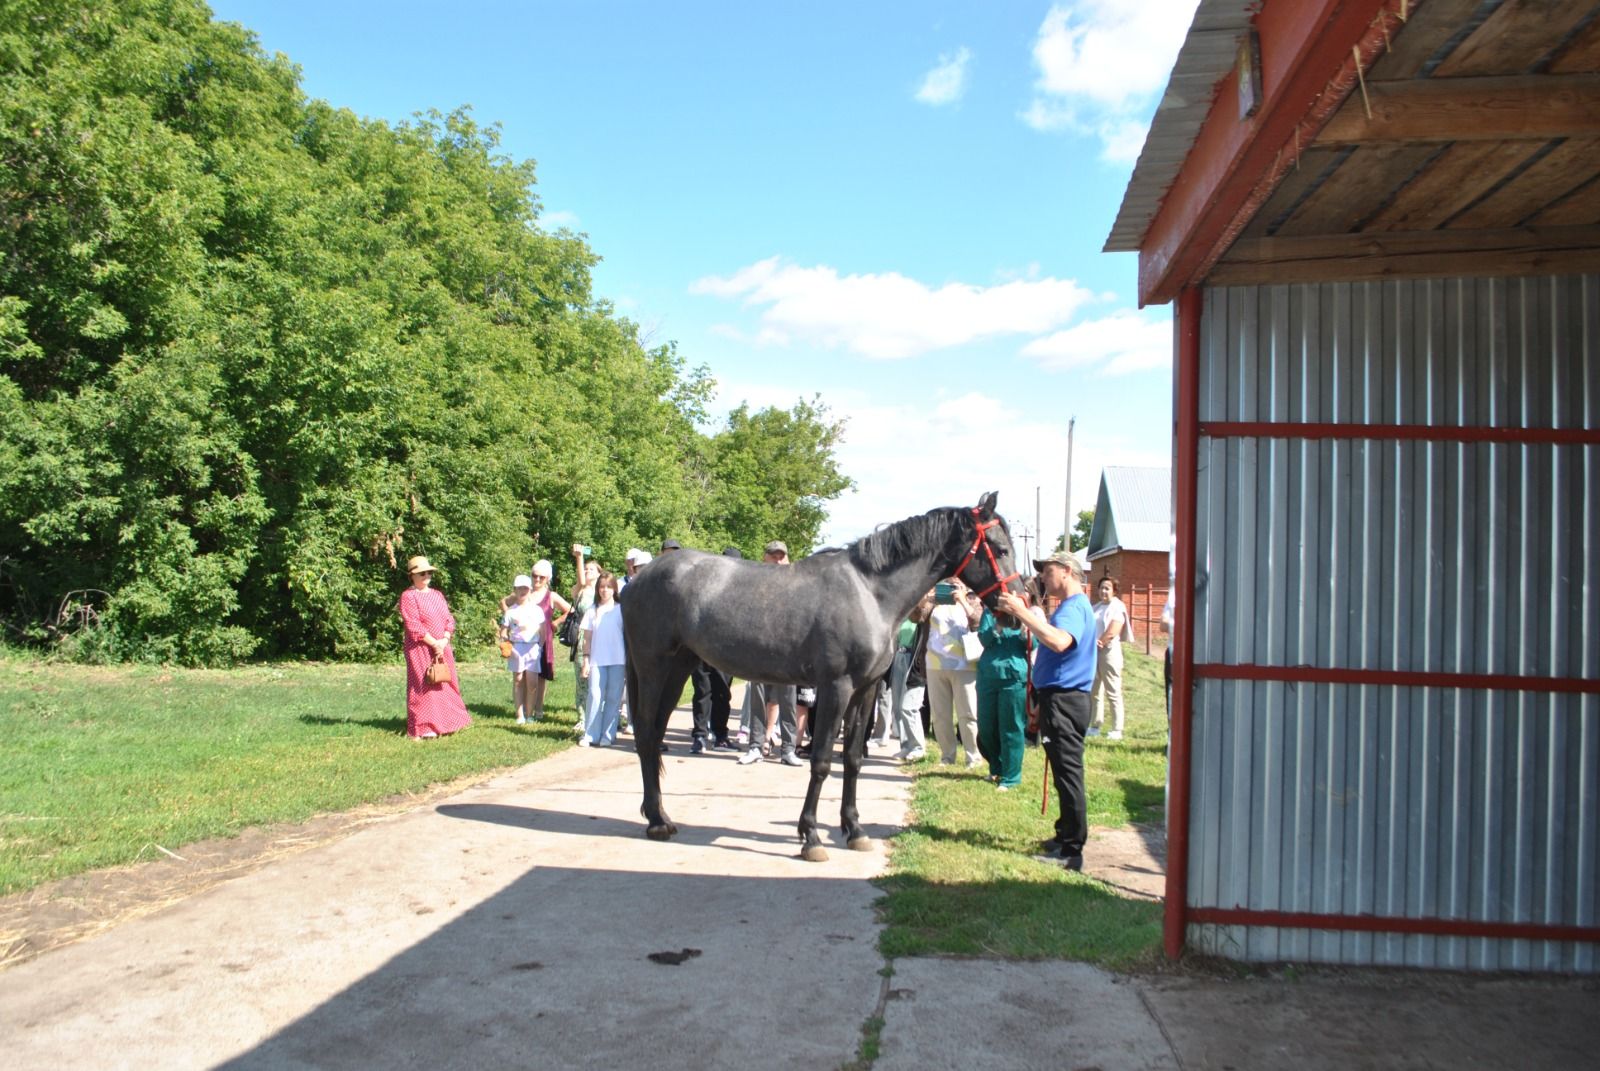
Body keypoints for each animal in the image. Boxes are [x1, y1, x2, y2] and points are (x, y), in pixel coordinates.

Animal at [617, 493, 1017, 858]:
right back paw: (657, 822)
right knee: (646, 734)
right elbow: (822, 760)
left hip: (678, 668)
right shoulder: (836, 688)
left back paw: (660, 816)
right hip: (653, 668)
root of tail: (636, 582)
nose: (1014, 607)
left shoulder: (866, 690)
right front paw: (810, 836)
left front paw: (854, 830)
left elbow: (852, 758)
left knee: (654, 734)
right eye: (999, 548)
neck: (870, 592)